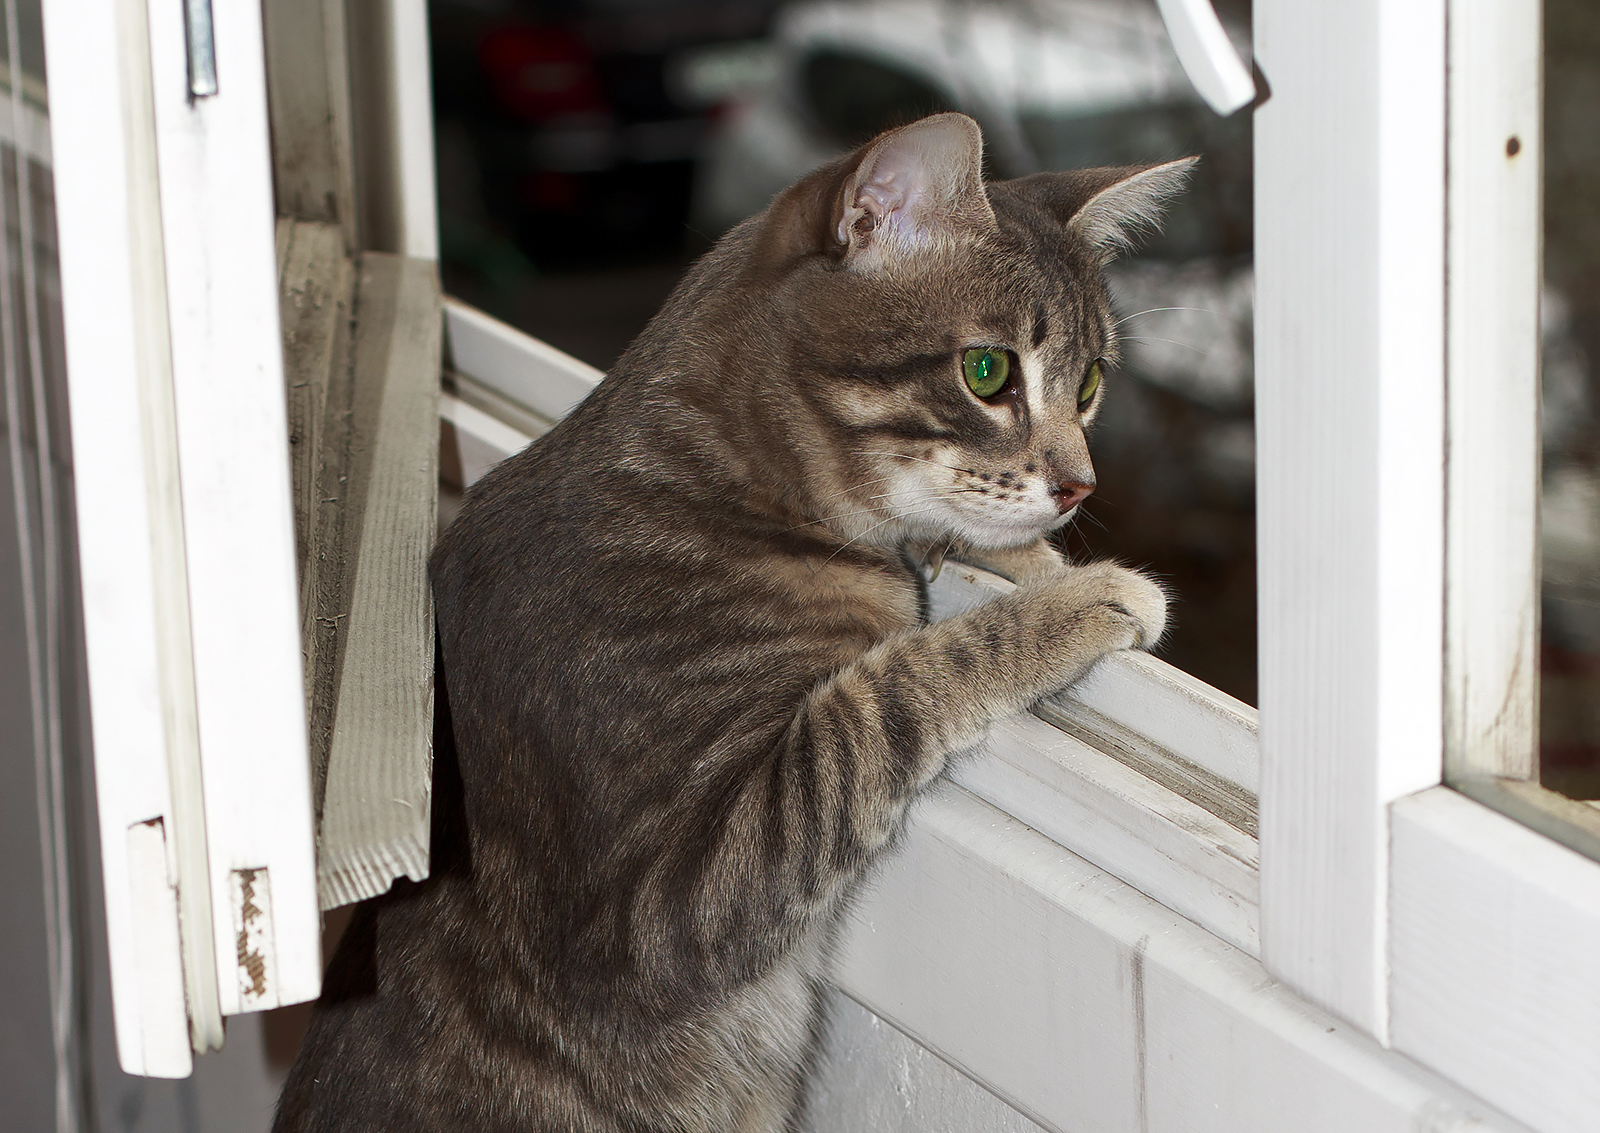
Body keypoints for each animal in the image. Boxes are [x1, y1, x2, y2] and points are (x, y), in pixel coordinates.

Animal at [272, 108, 1190, 1133]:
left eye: (1089, 384)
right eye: (988, 372)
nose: (1081, 485)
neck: (724, 479)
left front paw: (1028, 558)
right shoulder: (674, 893)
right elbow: (890, 687)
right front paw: (1081, 596)